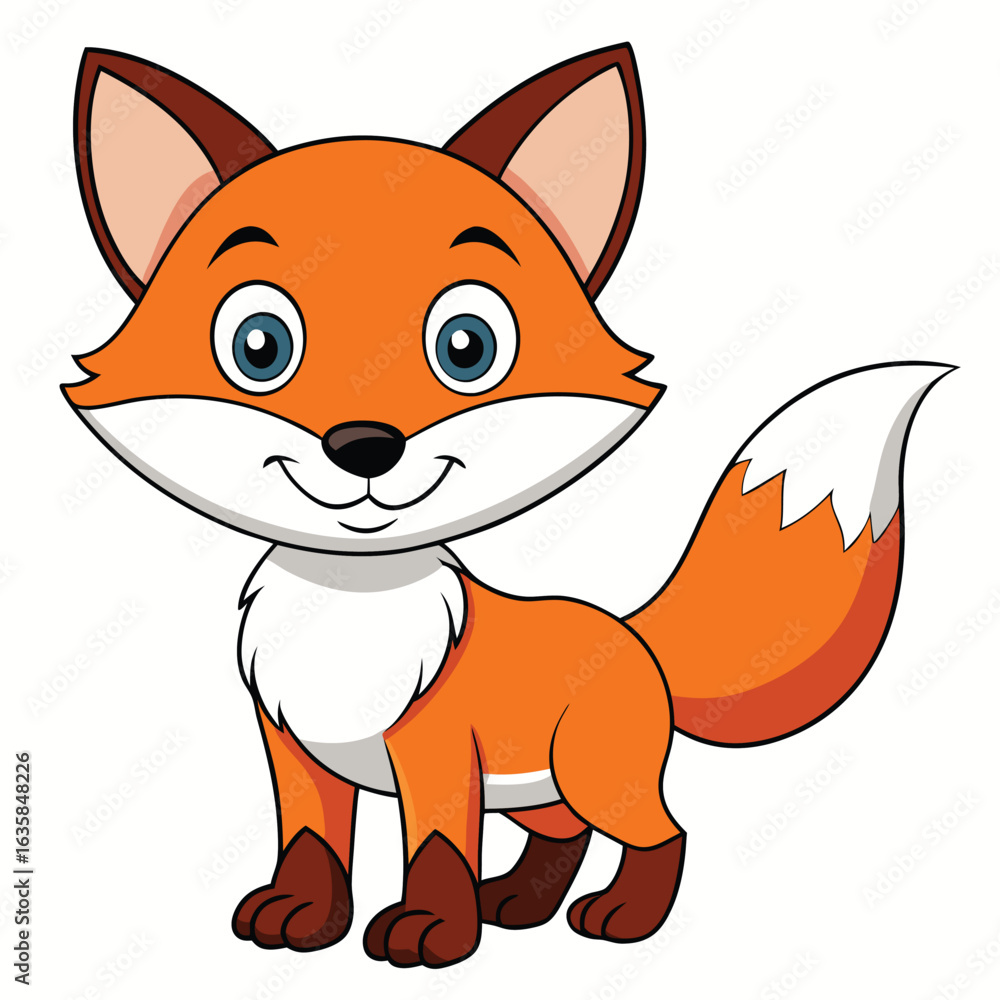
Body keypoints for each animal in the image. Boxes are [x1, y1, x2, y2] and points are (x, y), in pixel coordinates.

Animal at [64, 44, 952, 968]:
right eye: (259, 346)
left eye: (468, 347)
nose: (365, 445)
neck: (350, 620)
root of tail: (630, 634)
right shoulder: (293, 748)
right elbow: (310, 842)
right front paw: (302, 917)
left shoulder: (434, 750)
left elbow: (435, 846)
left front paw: (433, 934)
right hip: (538, 787)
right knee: (564, 834)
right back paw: (520, 904)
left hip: (595, 773)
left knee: (662, 832)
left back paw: (622, 918)